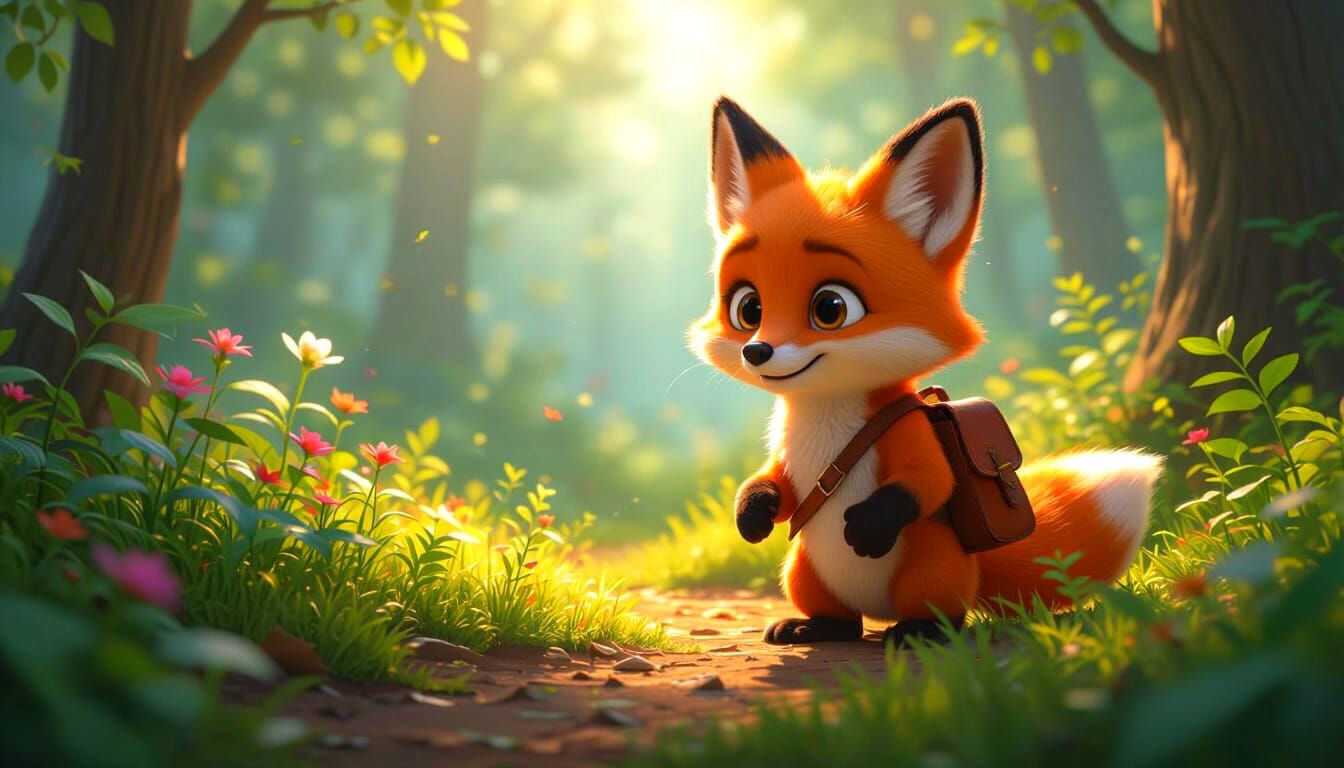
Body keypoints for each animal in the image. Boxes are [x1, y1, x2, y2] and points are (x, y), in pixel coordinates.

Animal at [688, 96, 1163, 647]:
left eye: (830, 308)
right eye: (748, 309)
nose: (758, 351)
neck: (826, 417)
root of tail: (878, 612)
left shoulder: (906, 428)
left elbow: (929, 482)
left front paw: (867, 526)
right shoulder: (786, 462)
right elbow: (775, 484)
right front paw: (752, 511)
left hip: (932, 564)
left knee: (944, 612)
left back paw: (919, 630)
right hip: (803, 569)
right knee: (842, 622)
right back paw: (814, 626)